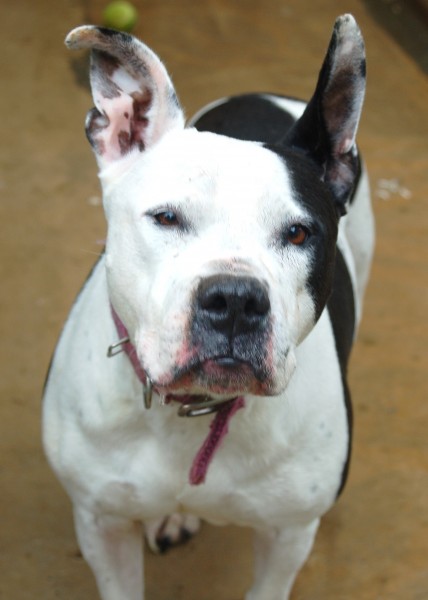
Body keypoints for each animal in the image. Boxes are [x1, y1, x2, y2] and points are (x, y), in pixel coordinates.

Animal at [41, 14, 372, 600]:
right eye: (166, 218)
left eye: (299, 232)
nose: (235, 300)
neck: (194, 412)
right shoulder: (101, 523)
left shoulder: (286, 537)